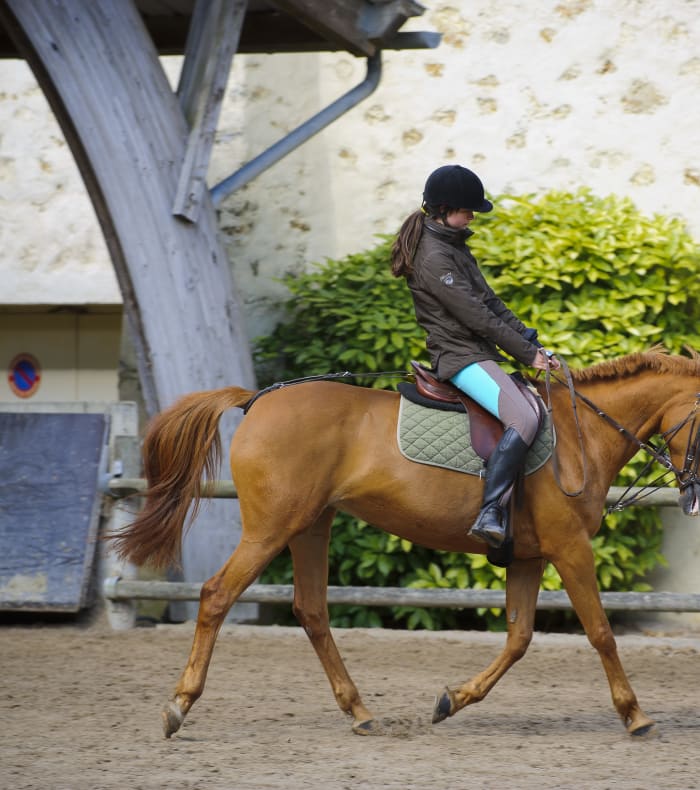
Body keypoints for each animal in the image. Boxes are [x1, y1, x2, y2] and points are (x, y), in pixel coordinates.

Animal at [110, 348, 700, 739]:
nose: (694, 496)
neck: (583, 436)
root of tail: (256, 400)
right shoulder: (569, 547)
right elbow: (600, 632)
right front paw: (635, 714)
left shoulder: (529, 557)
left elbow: (518, 639)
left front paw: (453, 700)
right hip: (271, 528)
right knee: (217, 596)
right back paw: (179, 706)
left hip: (311, 526)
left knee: (312, 611)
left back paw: (359, 712)